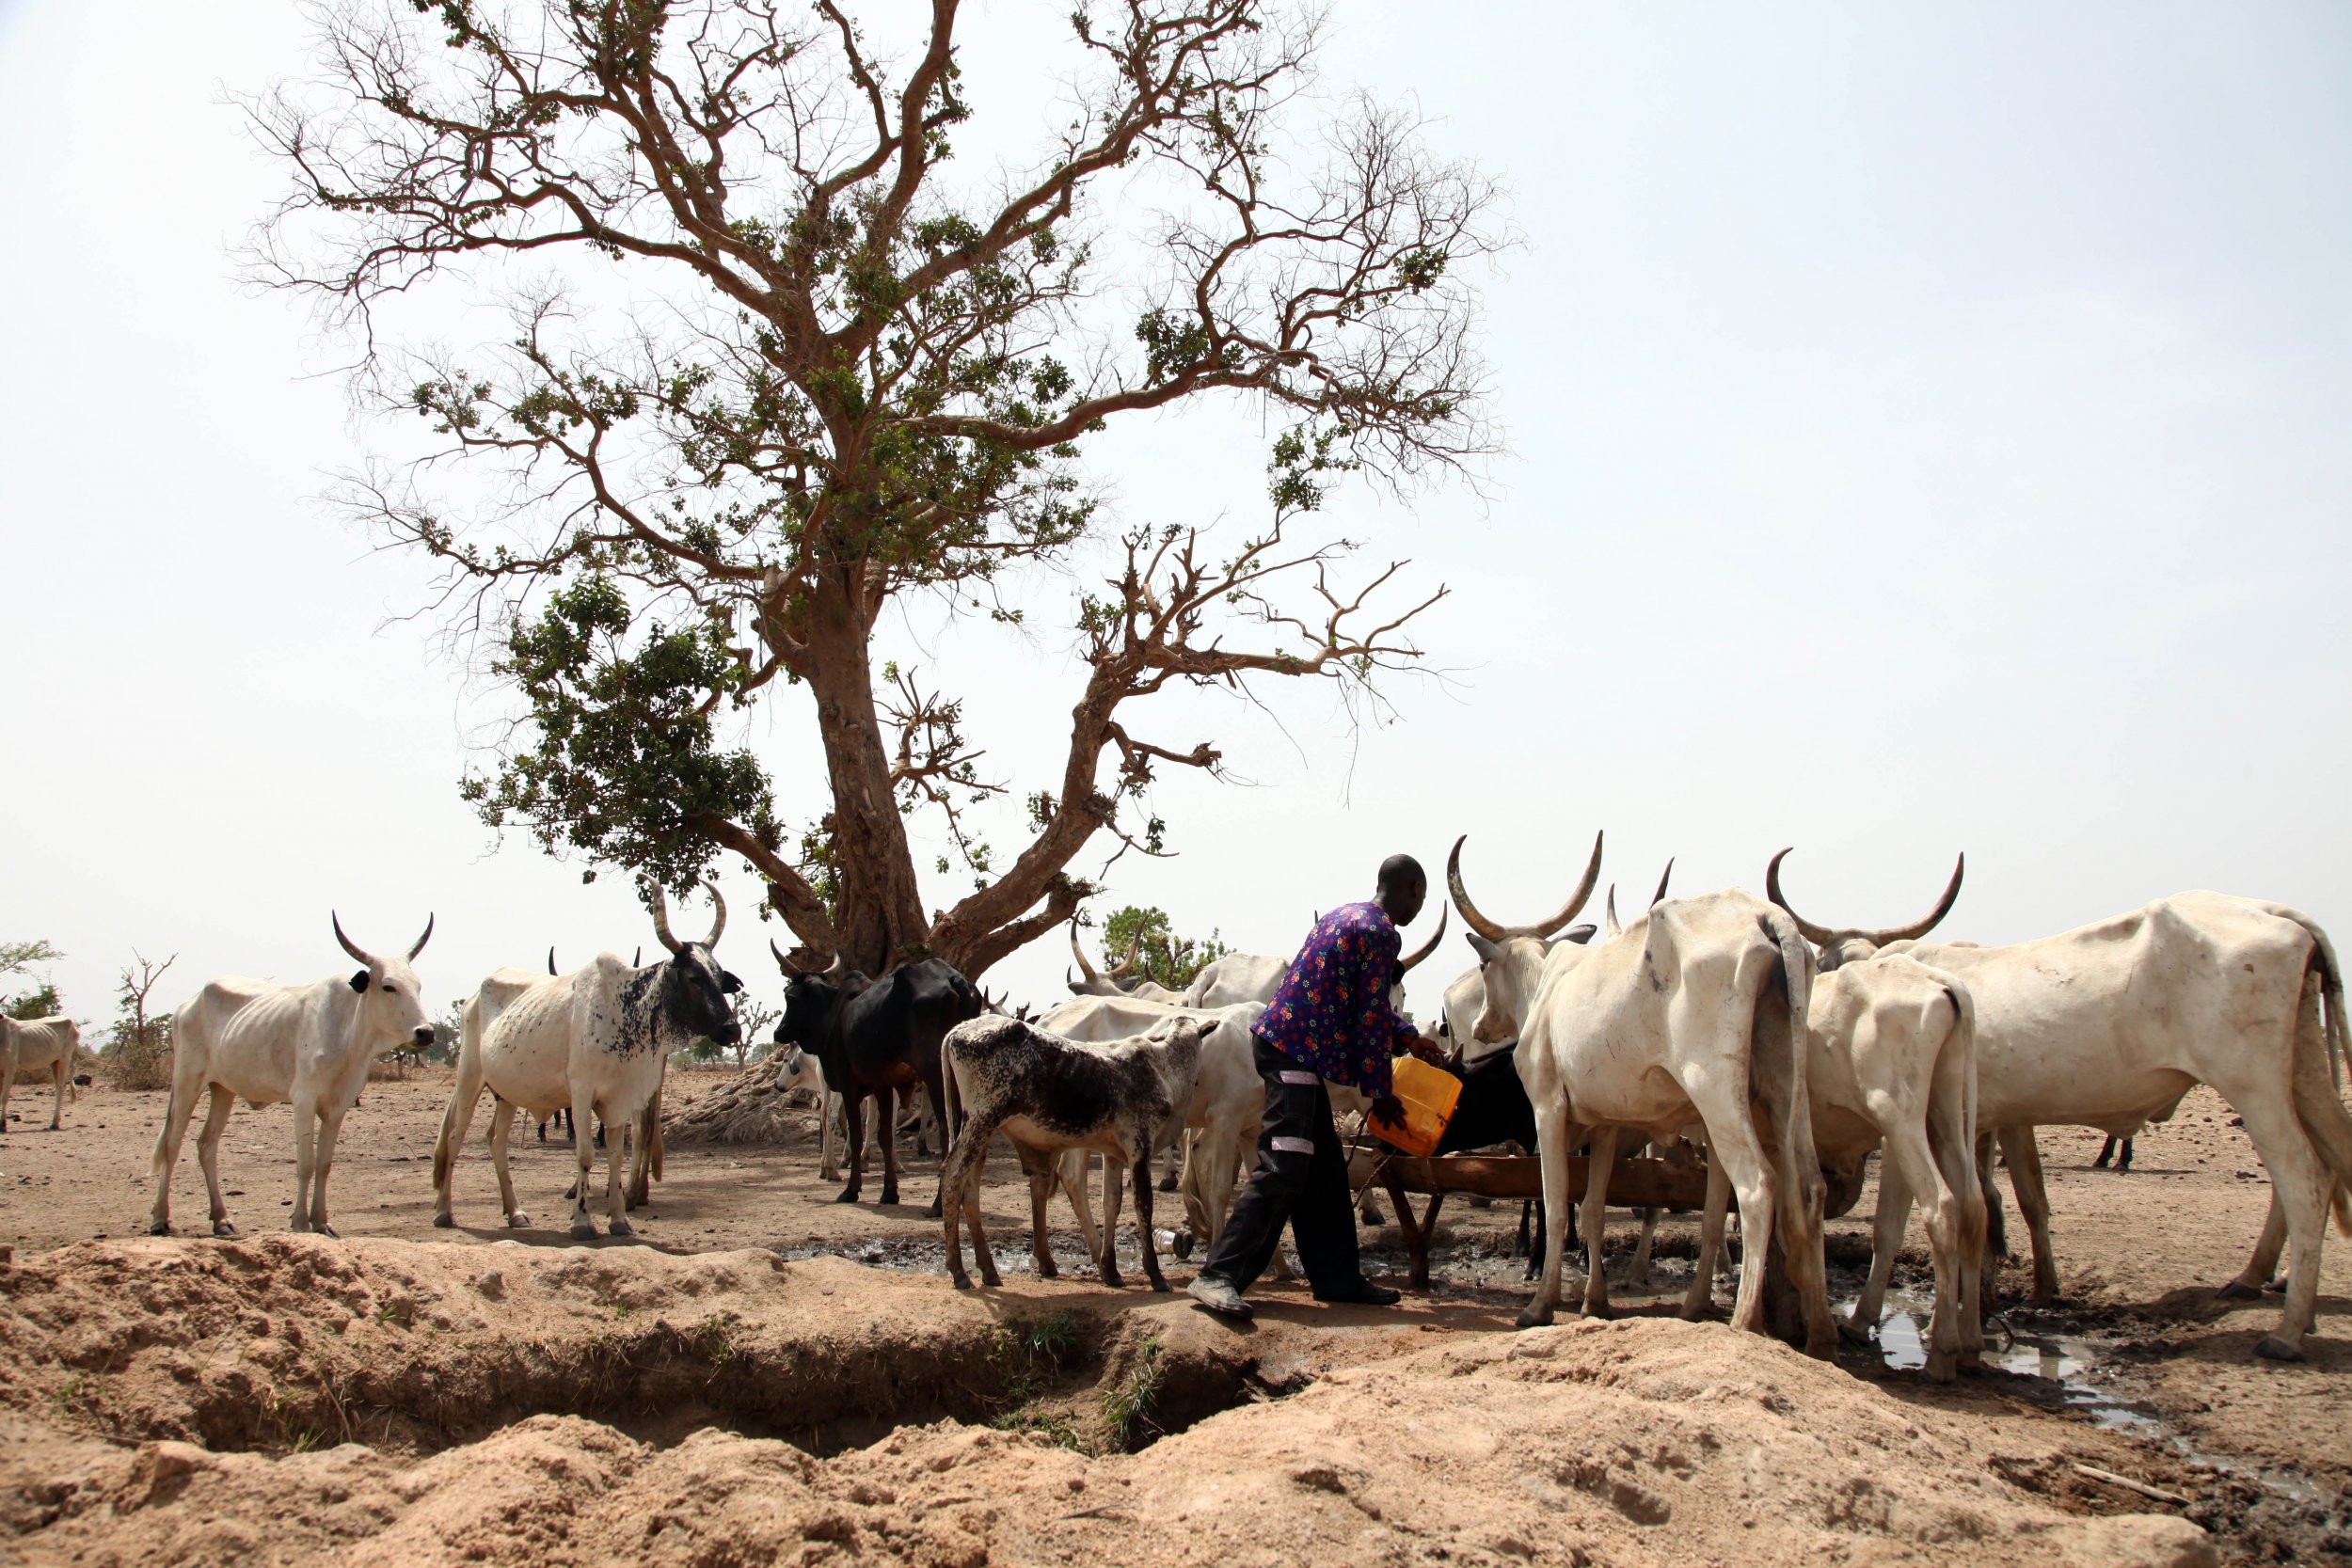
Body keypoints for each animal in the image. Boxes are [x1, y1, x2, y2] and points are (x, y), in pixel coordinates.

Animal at [0, 1010, 81, 1132]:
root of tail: (72, 1024)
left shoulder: (10, 1069)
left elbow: (4, 1098)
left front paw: (3, 1125)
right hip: (54, 1063)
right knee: (59, 1086)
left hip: (64, 1059)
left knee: (60, 1089)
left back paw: (54, 1124)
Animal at [149, 921, 435, 1241]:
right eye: (389, 986)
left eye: (417, 987)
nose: (425, 1032)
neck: (348, 1032)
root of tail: (188, 1004)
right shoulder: (303, 1100)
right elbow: (305, 1164)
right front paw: (300, 1222)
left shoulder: (338, 1107)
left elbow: (324, 1164)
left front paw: (321, 1222)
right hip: (187, 1081)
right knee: (172, 1145)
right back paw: (160, 1218)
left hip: (222, 1089)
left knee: (206, 1145)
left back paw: (221, 1219)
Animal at [433, 883, 739, 1241]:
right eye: (693, 977)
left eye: (718, 976)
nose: (732, 1029)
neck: (625, 1009)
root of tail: (471, 999)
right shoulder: (580, 1093)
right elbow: (585, 1155)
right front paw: (582, 1222)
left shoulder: (620, 1098)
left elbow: (617, 1156)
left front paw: (619, 1219)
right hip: (469, 1078)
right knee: (454, 1139)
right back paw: (444, 1212)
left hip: (507, 1093)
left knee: (497, 1143)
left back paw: (515, 1213)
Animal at [771, 949, 983, 1222]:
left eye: (789, 995)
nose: (778, 1032)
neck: (834, 1015)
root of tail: (955, 980)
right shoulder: (883, 1084)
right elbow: (884, 1135)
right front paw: (889, 1192)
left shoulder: (850, 1086)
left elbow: (857, 1132)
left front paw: (851, 1190)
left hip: (937, 1074)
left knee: (949, 1128)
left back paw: (939, 1203)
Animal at [1769, 846, 2343, 1363]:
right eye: (1830, 963)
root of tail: (2281, 915)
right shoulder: (1993, 1121)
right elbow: (2011, 1201)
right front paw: (2009, 1297)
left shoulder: (1928, 1127)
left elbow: (1913, 1220)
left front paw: (1890, 1318)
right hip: (2302, 1073)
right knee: (2331, 1162)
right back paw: (2266, 1286)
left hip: (2252, 1081)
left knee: (2304, 1179)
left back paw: (2287, 1330)